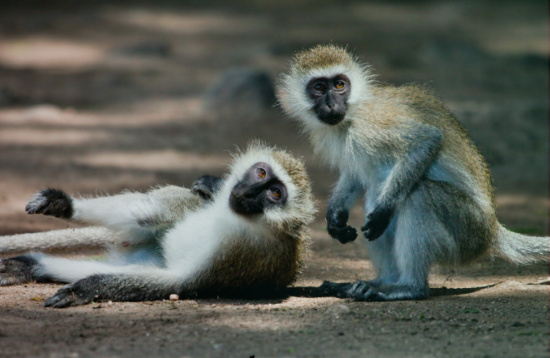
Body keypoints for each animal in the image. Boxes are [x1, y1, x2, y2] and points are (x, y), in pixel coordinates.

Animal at [0, 143, 316, 308]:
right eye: (260, 173)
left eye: (274, 193)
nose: (247, 193)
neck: (239, 218)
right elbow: (146, 212)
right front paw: (62, 203)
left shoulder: (242, 253)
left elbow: (179, 281)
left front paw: (84, 289)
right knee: (148, 213)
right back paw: (32, 263)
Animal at [278, 44, 548, 302]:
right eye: (319, 87)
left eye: (339, 85)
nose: (332, 104)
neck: (351, 116)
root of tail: (492, 231)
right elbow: (355, 174)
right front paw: (335, 215)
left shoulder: (373, 124)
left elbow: (427, 140)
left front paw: (383, 211)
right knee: (376, 192)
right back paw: (380, 282)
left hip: (469, 229)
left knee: (418, 195)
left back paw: (408, 287)